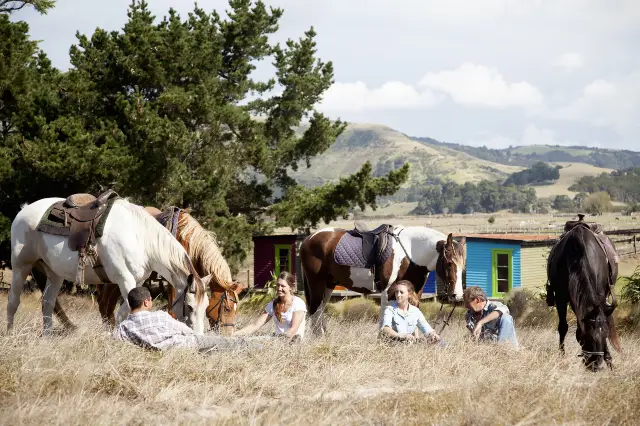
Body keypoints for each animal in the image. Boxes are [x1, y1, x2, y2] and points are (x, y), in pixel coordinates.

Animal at [7, 197, 210, 334]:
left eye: (206, 306)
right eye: (190, 306)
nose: (199, 336)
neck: (139, 237)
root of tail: (24, 210)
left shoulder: (136, 282)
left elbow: (122, 311)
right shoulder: (124, 280)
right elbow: (125, 311)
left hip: (54, 273)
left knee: (48, 303)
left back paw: (47, 336)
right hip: (21, 266)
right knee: (13, 301)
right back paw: (10, 333)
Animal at [300, 225, 466, 334]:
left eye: (463, 265)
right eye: (449, 263)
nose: (457, 295)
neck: (410, 254)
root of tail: (308, 240)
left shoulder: (415, 294)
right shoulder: (388, 291)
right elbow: (385, 319)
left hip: (328, 286)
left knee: (320, 311)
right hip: (316, 284)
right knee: (315, 312)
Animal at [546, 222, 622, 371]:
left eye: (605, 335)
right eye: (588, 335)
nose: (596, 365)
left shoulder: (600, 295)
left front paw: (608, 359)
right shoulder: (561, 297)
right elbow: (563, 327)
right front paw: (562, 356)